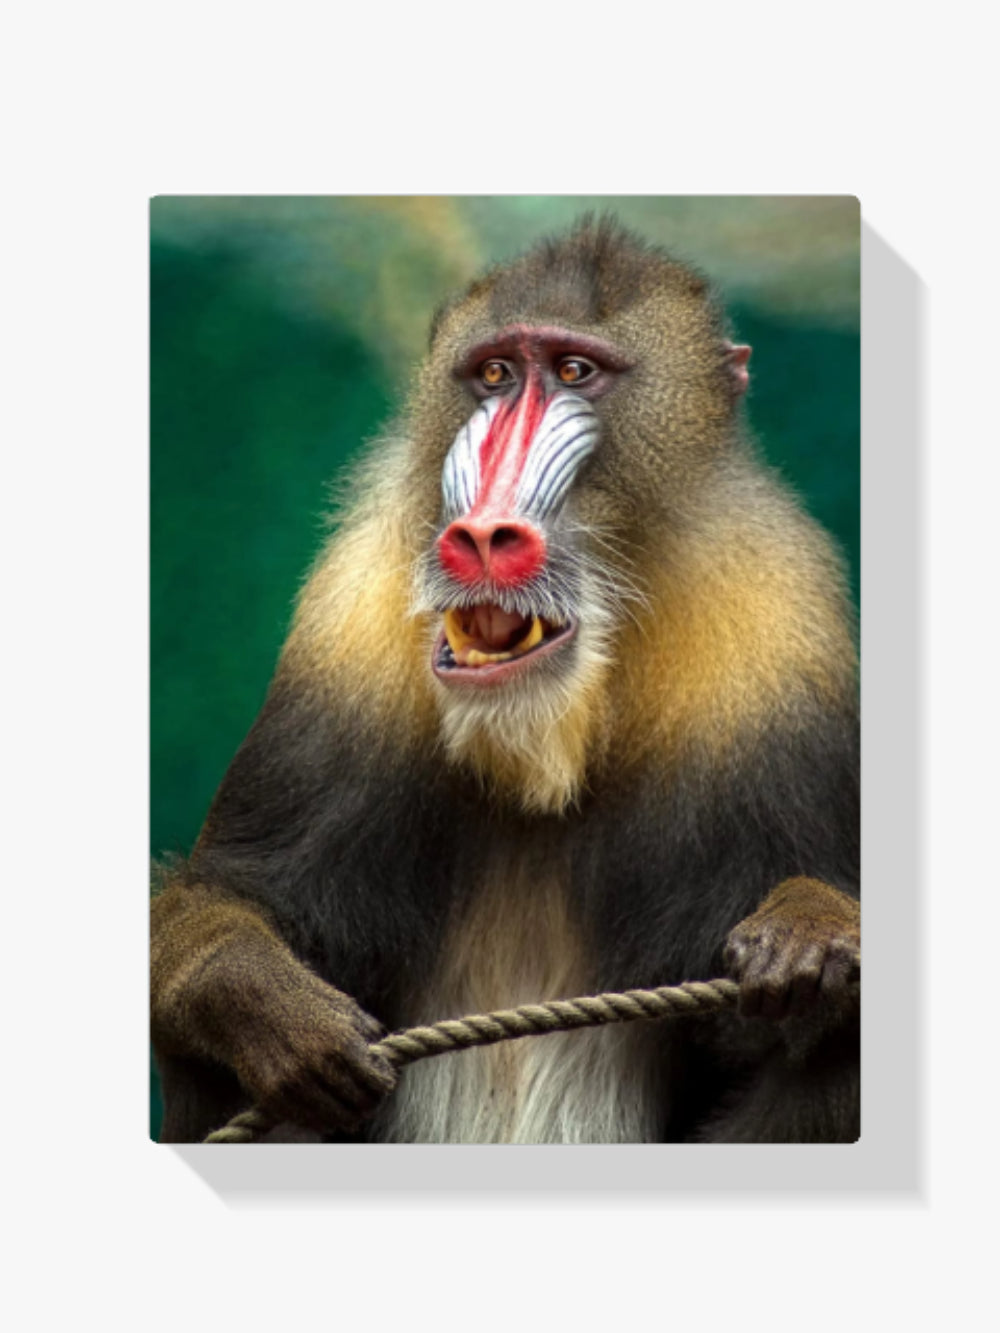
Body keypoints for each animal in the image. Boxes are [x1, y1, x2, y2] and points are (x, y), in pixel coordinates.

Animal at [150, 216, 860, 1145]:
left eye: (575, 372)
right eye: (493, 375)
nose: (484, 533)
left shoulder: (776, 635)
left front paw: (812, 932)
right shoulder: (350, 627)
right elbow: (220, 911)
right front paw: (271, 1008)